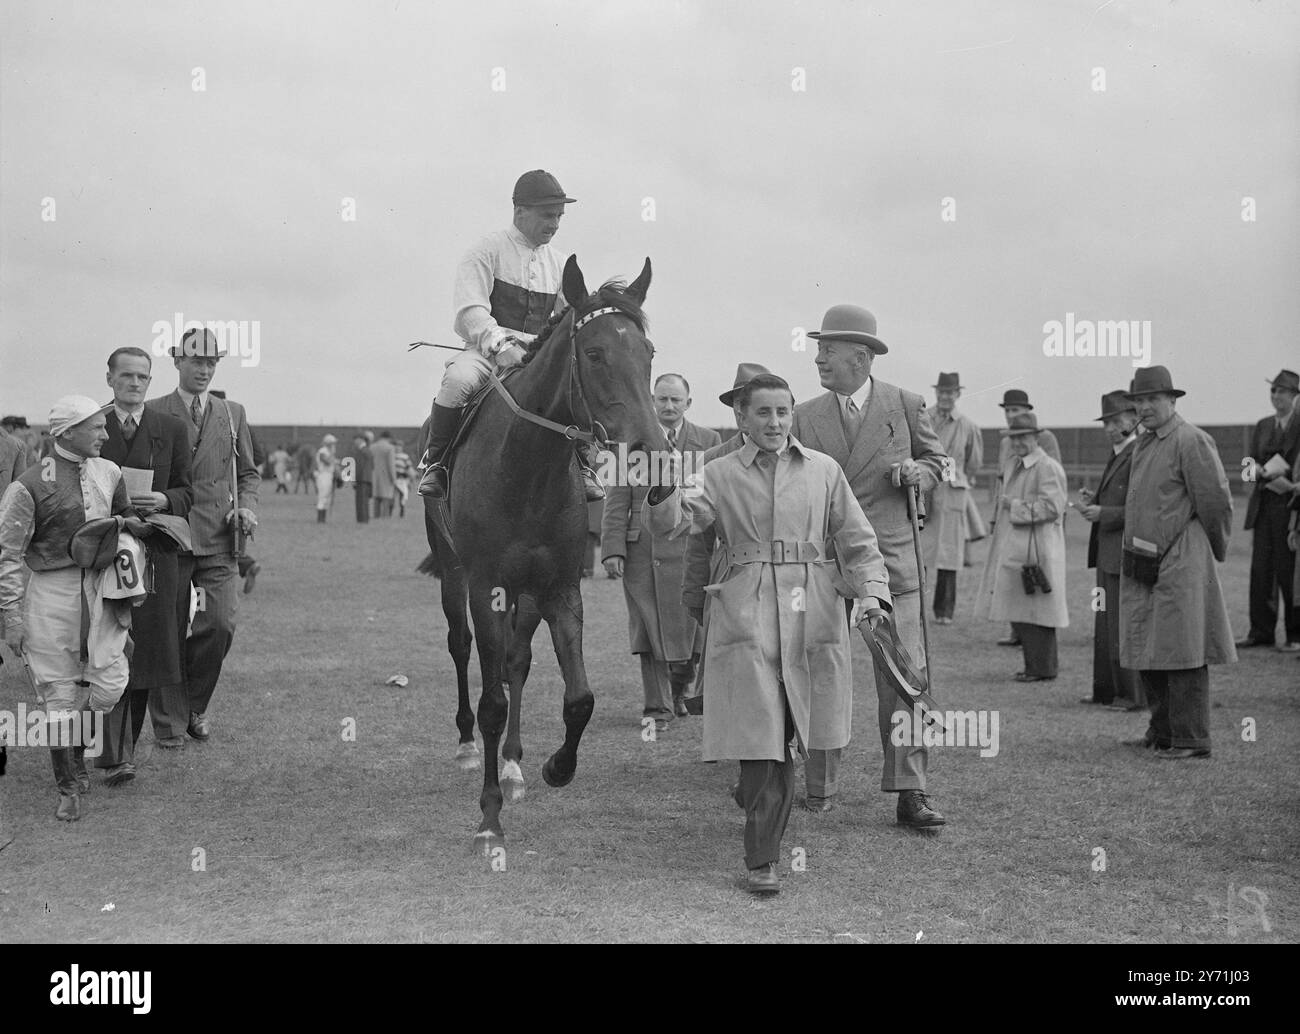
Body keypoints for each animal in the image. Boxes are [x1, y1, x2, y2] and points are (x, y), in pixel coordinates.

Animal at [423, 254, 665, 853]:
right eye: (595, 353)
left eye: (648, 353)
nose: (653, 452)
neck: (527, 466)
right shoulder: (486, 584)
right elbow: (491, 700)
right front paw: (489, 817)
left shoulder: (559, 586)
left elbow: (578, 697)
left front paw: (557, 766)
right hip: (453, 571)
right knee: (461, 647)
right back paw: (468, 747)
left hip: (526, 591)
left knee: (517, 662)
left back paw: (512, 764)